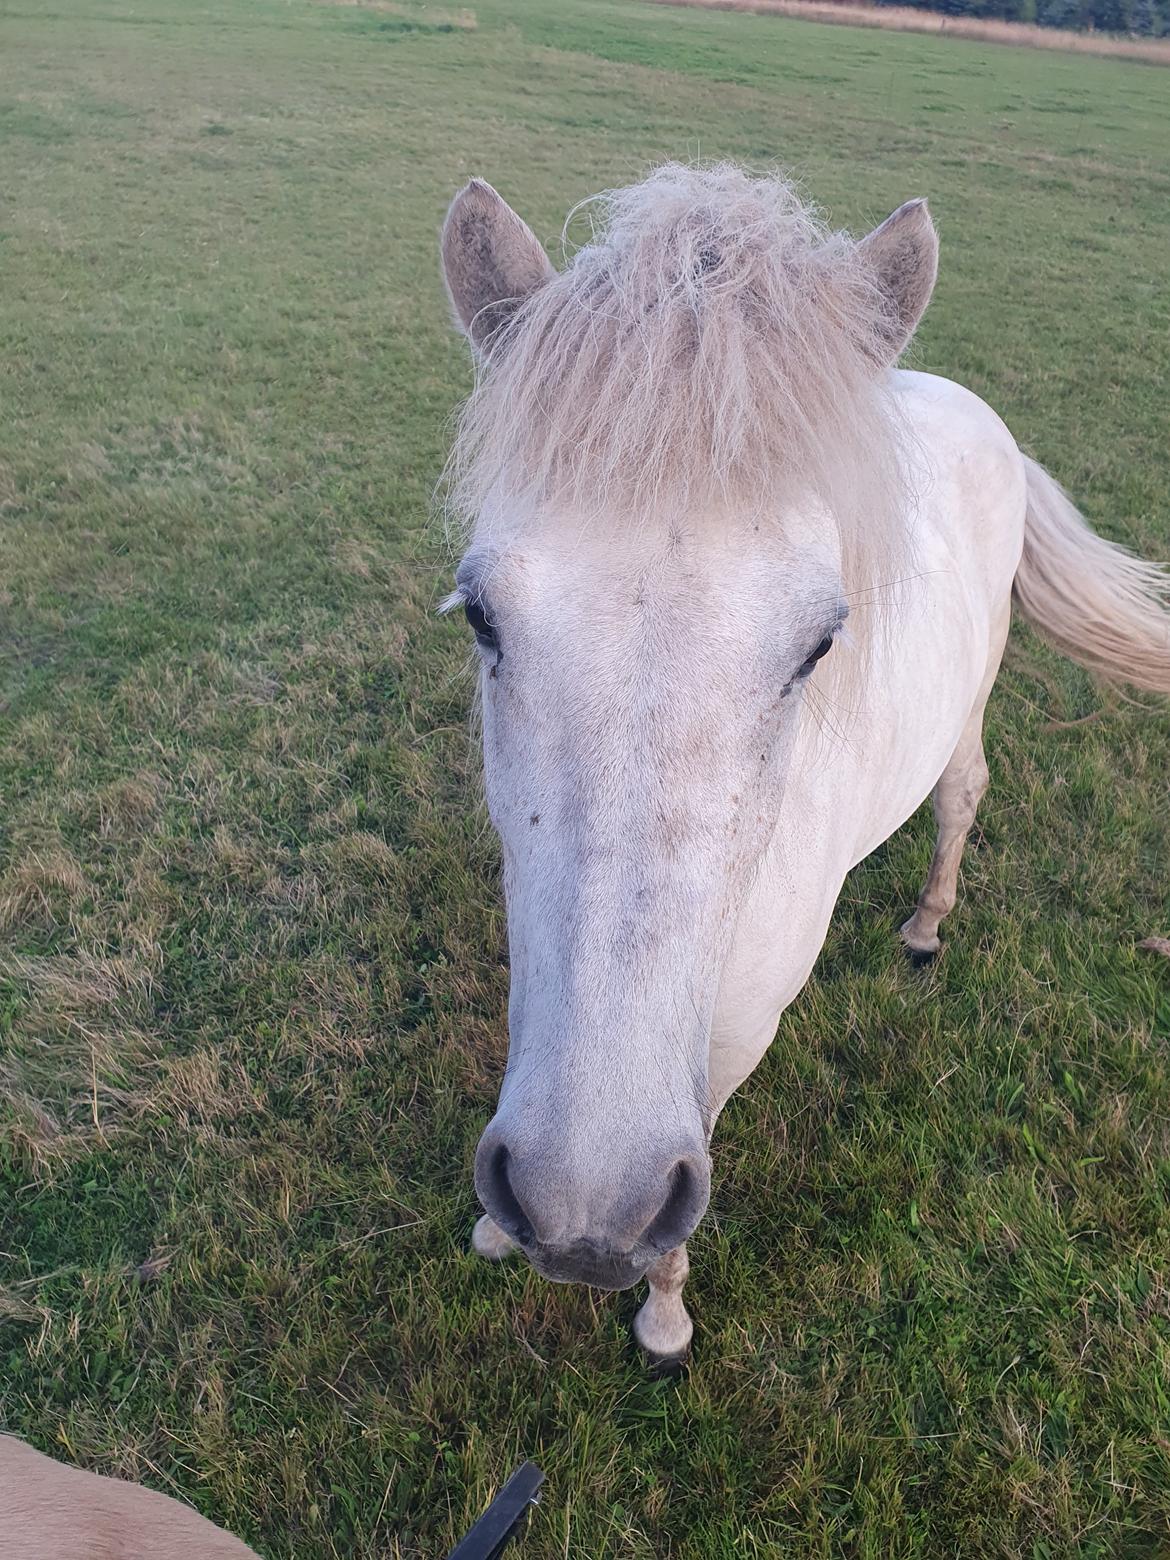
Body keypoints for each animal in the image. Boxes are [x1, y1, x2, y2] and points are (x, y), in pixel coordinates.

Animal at [436, 164, 1170, 1366]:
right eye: (482, 617)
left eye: (820, 646)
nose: (580, 1217)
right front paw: (500, 1237)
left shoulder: (732, 1040)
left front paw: (665, 1320)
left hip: (971, 706)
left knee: (963, 794)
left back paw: (925, 926)